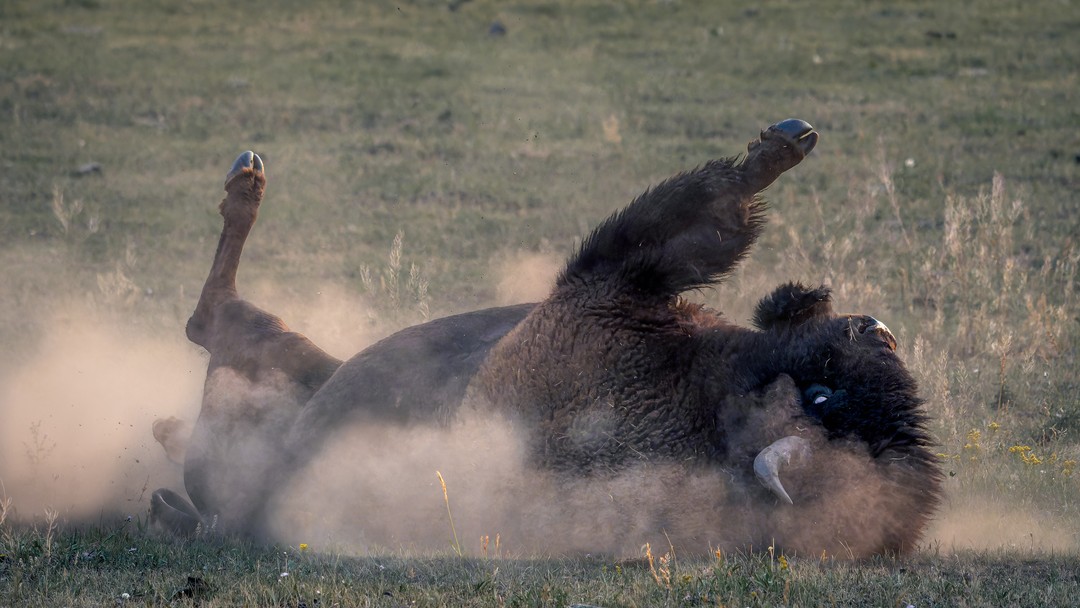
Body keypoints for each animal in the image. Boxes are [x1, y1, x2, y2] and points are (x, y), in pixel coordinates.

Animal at [152, 119, 941, 557]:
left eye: (821, 395)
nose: (876, 329)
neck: (699, 409)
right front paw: (791, 142)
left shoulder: (605, 282)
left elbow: (705, 212)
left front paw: (780, 144)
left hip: (271, 359)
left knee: (209, 319)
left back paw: (246, 182)